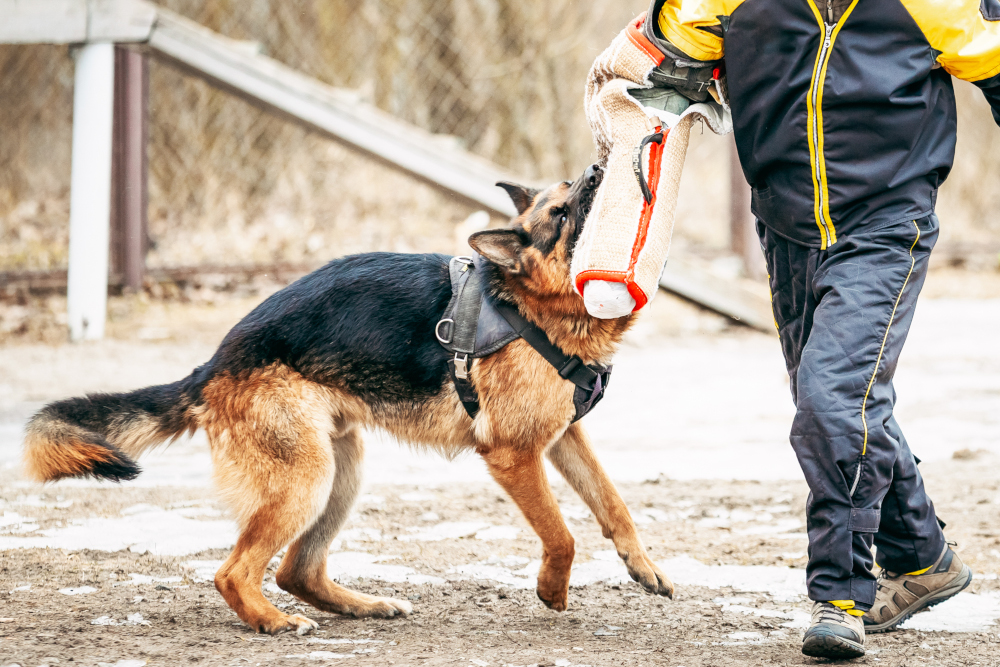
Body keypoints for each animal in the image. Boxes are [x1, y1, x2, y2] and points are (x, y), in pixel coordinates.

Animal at [25, 164, 672, 636]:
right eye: (562, 213)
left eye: (572, 185)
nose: (597, 168)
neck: (530, 303)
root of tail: (214, 365)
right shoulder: (514, 456)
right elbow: (561, 533)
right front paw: (552, 590)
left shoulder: (563, 437)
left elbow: (614, 505)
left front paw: (644, 567)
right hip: (306, 478)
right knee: (235, 572)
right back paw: (273, 622)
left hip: (343, 470)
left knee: (296, 569)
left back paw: (363, 606)